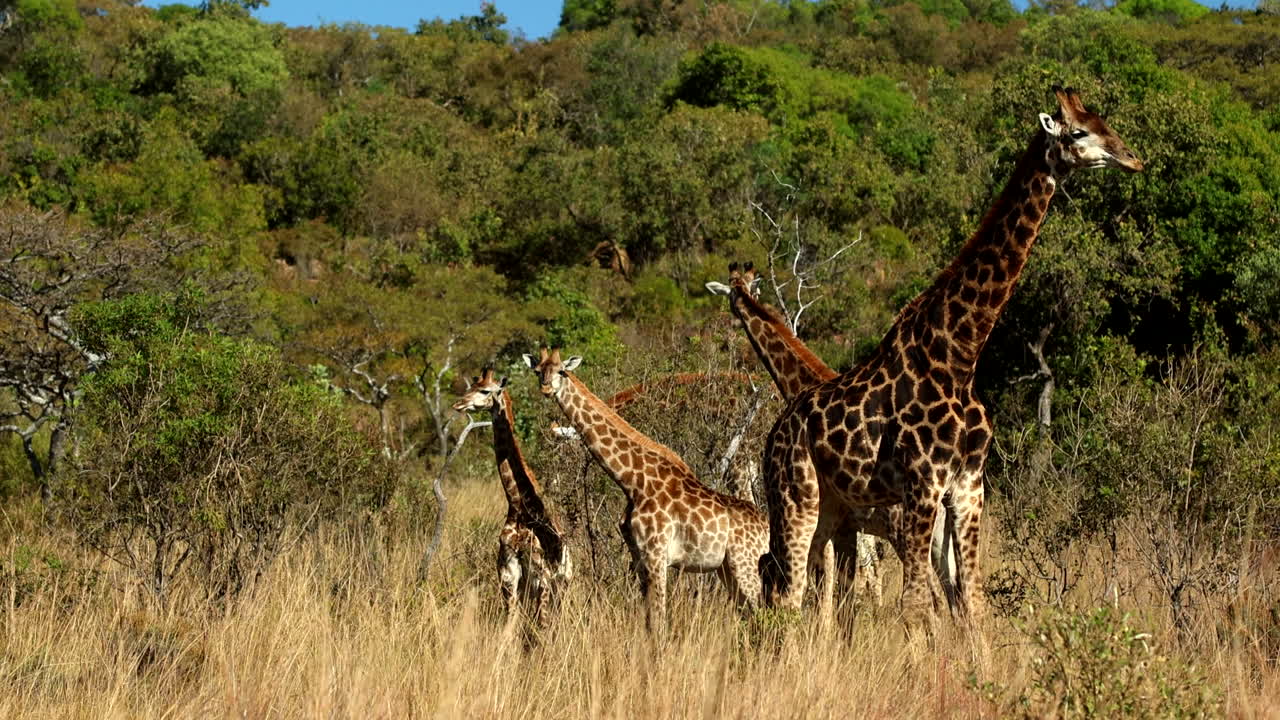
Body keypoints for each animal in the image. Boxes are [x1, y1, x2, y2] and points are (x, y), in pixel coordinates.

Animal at [452, 369, 572, 627]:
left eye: (485, 391)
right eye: (472, 386)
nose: (458, 404)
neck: (518, 505)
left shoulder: (541, 576)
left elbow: (541, 625)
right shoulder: (508, 574)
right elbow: (510, 626)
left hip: (562, 581)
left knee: (553, 619)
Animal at [523, 348, 769, 633]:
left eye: (562, 371)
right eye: (538, 371)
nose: (545, 388)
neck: (632, 481)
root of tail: (767, 527)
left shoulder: (656, 555)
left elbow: (659, 622)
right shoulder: (639, 557)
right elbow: (649, 621)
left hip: (746, 563)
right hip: (727, 568)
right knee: (752, 616)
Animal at [758, 86, 1142, 626]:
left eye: (1105, 122)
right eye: (1079, 131)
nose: (1134, 159)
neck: (958, 355)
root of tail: (773, 434)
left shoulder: (968, 487)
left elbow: (973, 600)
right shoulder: (922, 484)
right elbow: (916, 603)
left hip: (834, 508)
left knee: (806, 594)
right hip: (796, 496)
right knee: (788, 596)